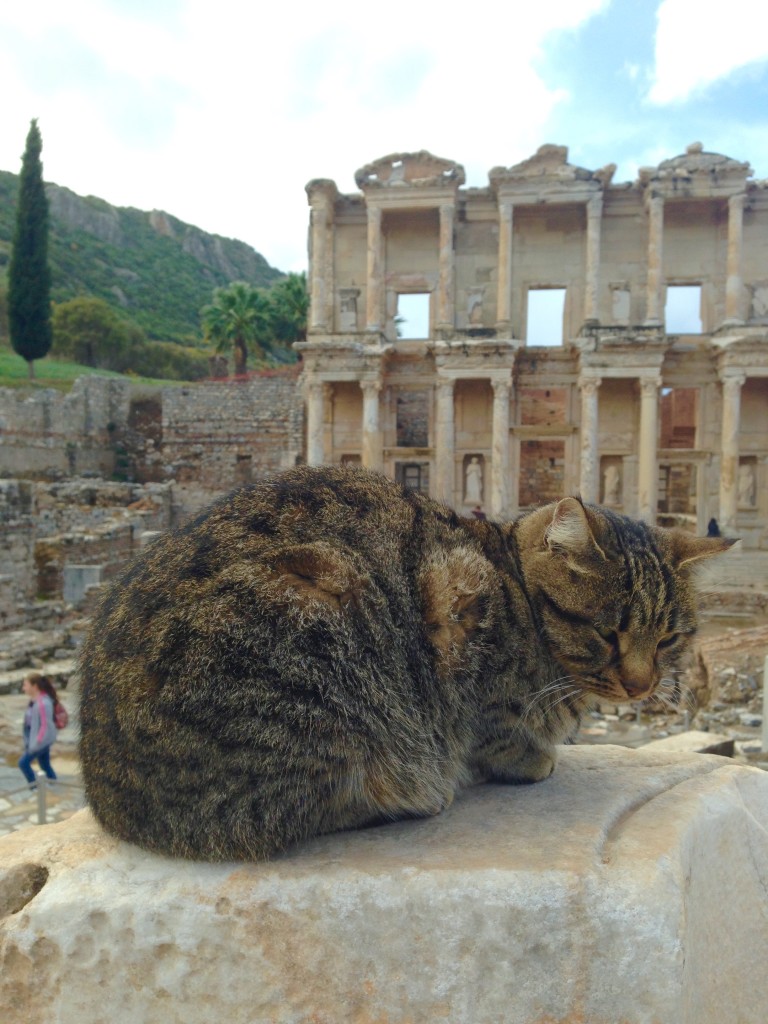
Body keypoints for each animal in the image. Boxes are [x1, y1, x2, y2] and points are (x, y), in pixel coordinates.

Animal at [78, 468, 733, 860]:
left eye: (669, 638)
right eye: (607, 633)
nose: (642, 684)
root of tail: (109, 799)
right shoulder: (457, 604)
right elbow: (495, 724)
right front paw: (529, 755)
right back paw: (415, 792)